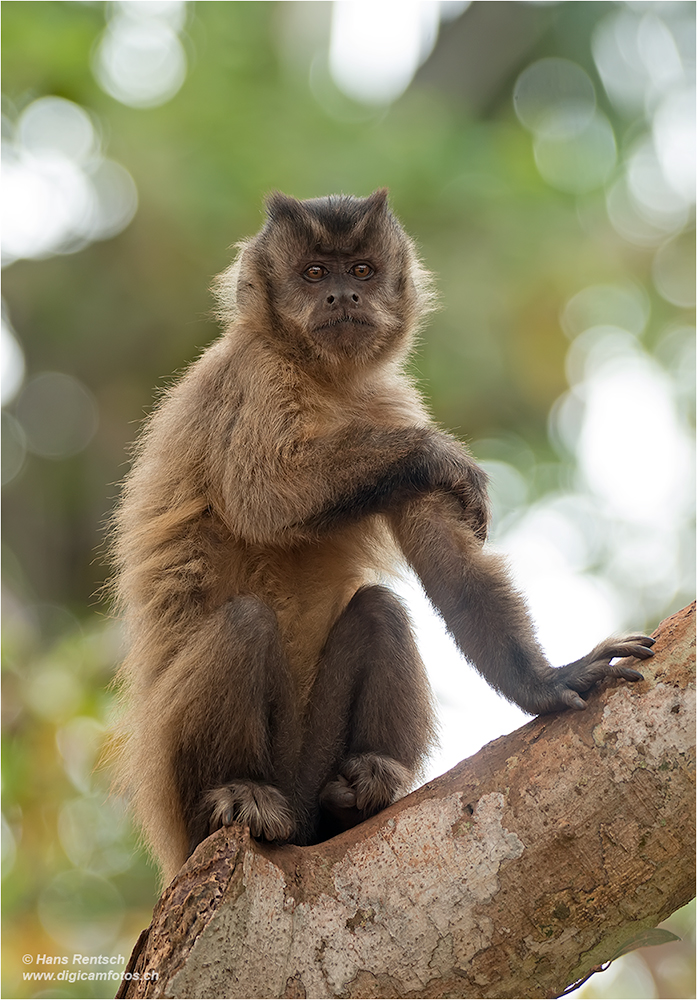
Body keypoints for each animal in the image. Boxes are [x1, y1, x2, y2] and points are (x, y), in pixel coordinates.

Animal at [113, 188, 652, 884]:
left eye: (362, 271)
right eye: (315, 273)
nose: (342, 296)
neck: (321, 377)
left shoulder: (386, 401)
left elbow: (444, 559)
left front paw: (543, 681)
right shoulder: (255, 374)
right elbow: (265, 497)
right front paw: (436, 453)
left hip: (311, 771)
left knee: (379, 611)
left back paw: (357, 794)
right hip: (178, 799)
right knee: (245, 623)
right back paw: (238, 794)